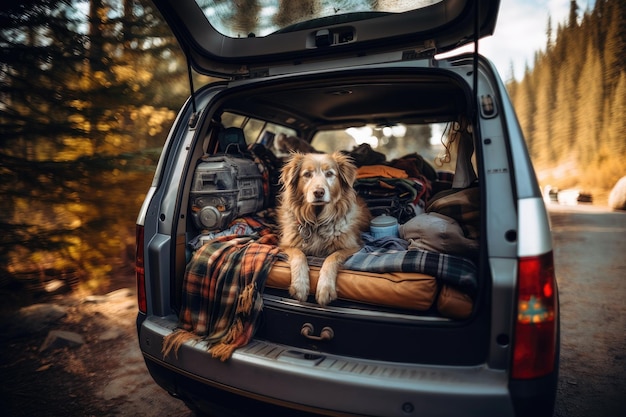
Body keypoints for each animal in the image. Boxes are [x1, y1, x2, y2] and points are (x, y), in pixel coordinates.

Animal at [276, 151, 368, 304]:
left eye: (329, 174)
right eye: (307, 174)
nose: (318, 192)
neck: (316, 221)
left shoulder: (353, 247)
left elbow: (332, 257)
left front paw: (325, 289)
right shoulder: (285, 245)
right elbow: (298, 254)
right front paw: (300, 286)